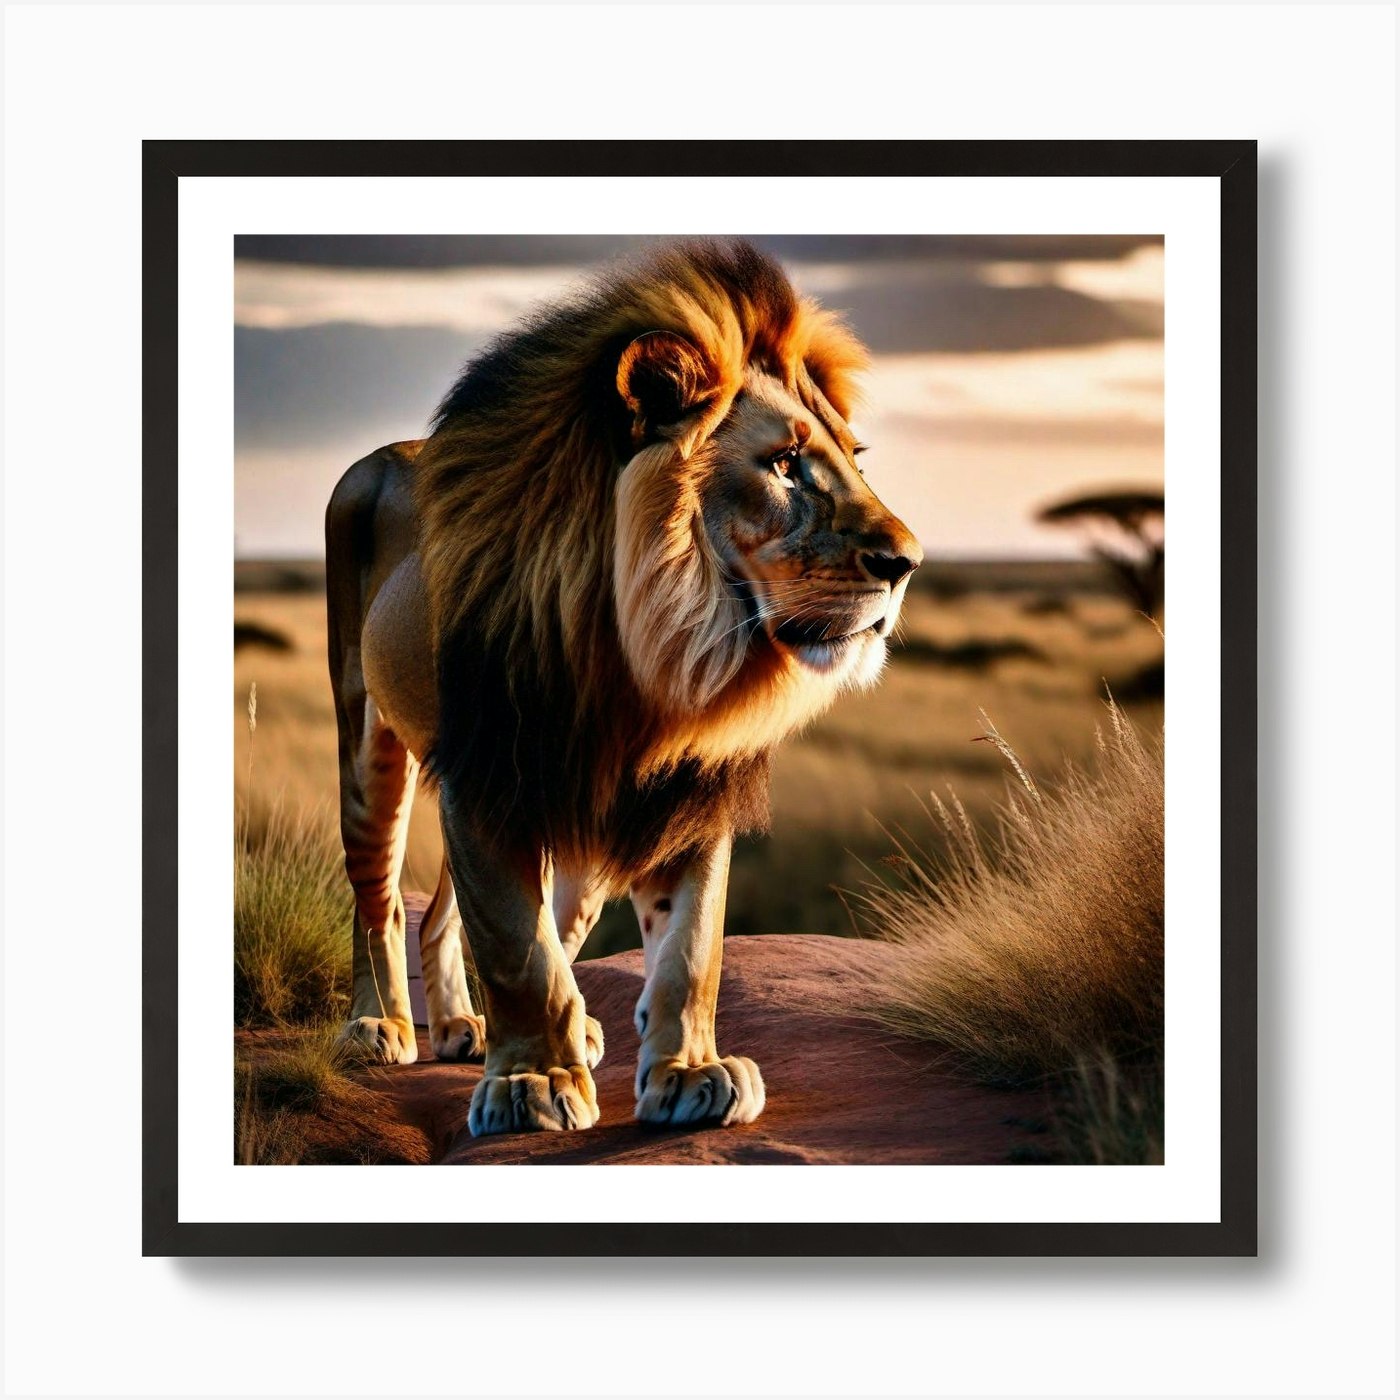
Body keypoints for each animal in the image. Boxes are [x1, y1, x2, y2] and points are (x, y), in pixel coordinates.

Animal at [325, 240, 921, 1136]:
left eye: (853, 461)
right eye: (784, 466)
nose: (907, 563)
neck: (650, 648)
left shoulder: (688, 785)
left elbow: (691, 947)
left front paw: (688, 1071)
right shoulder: (488, 771)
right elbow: (517, 945)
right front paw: (533, 1080)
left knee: (455, 913)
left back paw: (469, 1028)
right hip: (371, 740)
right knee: (383, 899)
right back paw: (381, 1026)